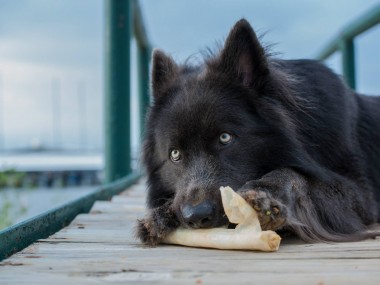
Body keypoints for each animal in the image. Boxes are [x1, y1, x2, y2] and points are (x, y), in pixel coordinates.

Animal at [137, 18, 380, 244]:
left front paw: (266, 193)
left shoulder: (360, 194)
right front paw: (161, 214)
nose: (196, 216)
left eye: (225, 138)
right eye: (175, 154)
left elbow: (296, 174)